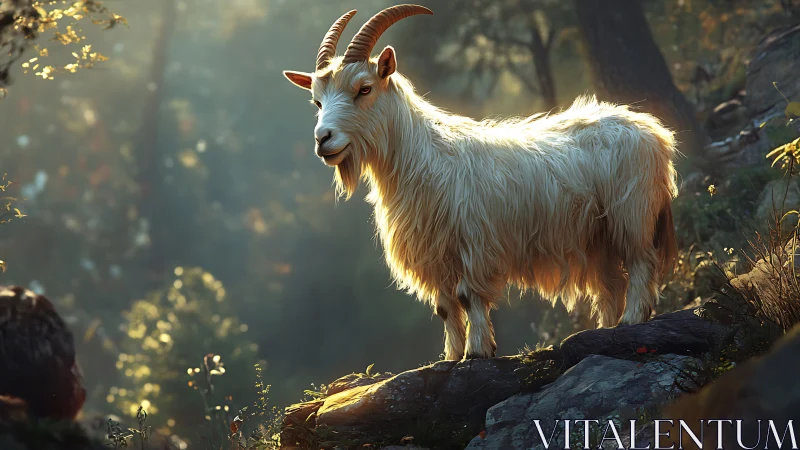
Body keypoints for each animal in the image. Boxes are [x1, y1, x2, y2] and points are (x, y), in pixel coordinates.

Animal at [283, 5, 679, 360]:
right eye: (317, 101)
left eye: (364, 89)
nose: (323, 139)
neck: (424, 156)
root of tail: (654, 132)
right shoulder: (434, 252)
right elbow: (444, 306)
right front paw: (451, 356)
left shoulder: (474, 243)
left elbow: (467, 296)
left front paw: (477, 351)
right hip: (598, 235)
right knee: (610, 282)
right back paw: (606, 328)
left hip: (632, 213)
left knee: (640, 262)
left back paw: (631, 319)